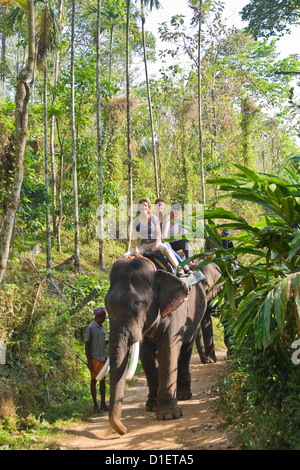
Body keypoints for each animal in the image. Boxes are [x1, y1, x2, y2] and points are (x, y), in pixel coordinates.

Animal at [101, 255, 206, 436]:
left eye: (137, 304)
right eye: (106, 304)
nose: (124, 430)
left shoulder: (175, 311)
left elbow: (169, 349)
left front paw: (168, 416)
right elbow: (146, 355)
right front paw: (152, 407)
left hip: (196, 315)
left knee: (185, 349)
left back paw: (184, 396)